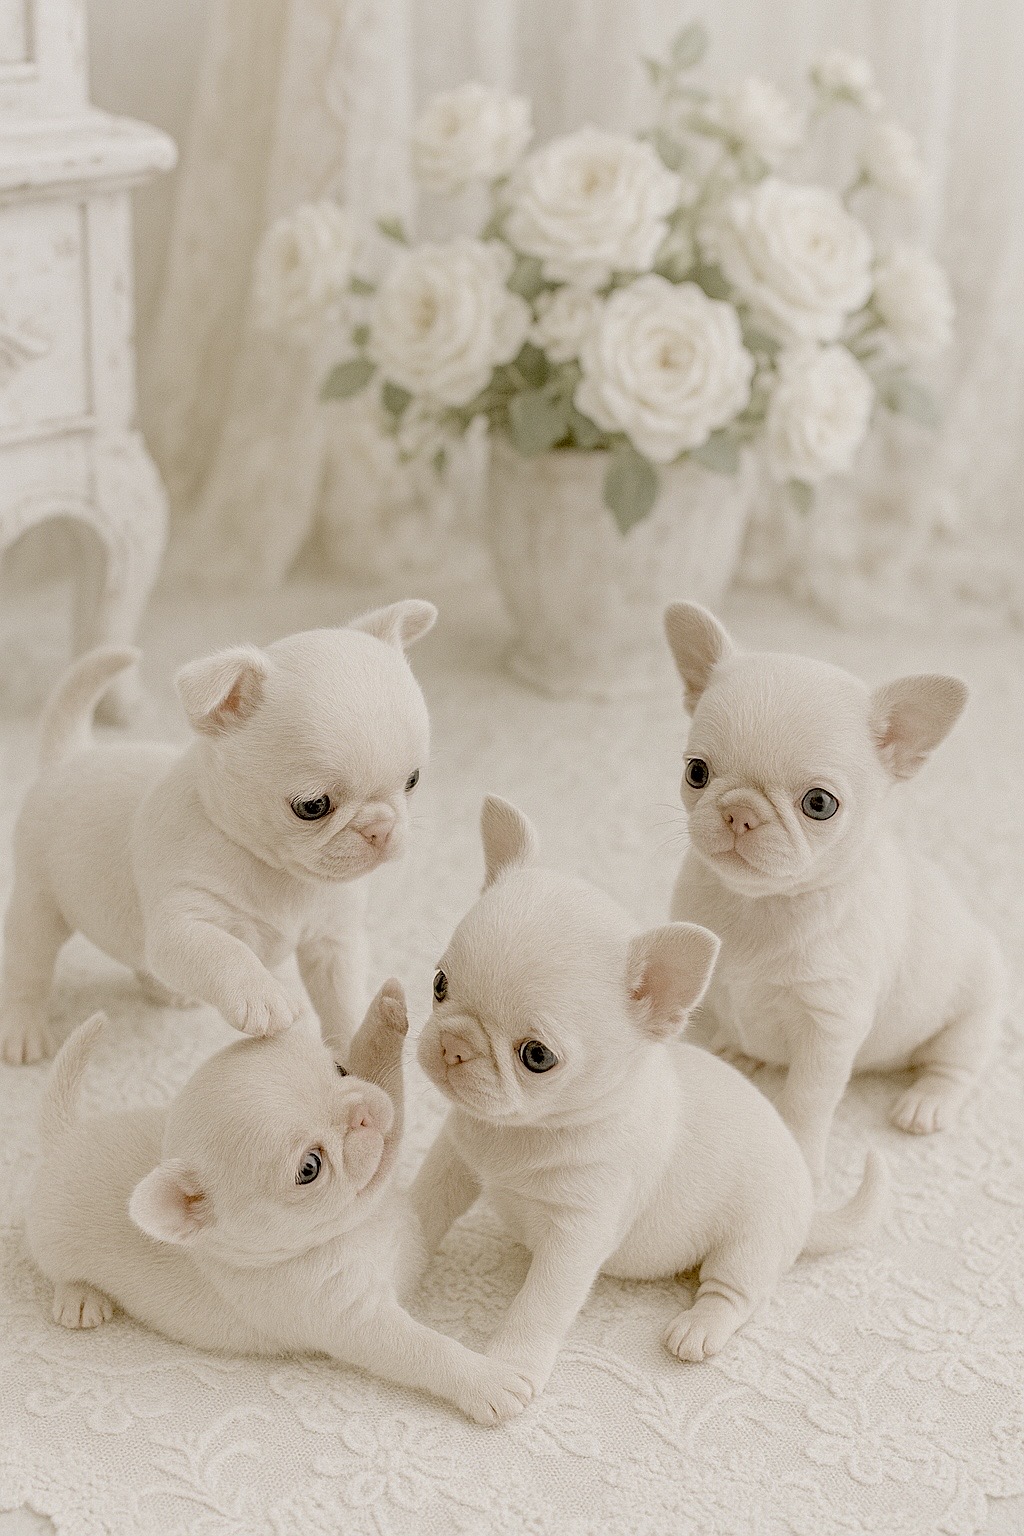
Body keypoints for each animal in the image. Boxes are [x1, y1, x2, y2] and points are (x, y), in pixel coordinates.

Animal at [0, 601, 435, 1063]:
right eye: (313, 807)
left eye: (412, 781)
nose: (381, 828)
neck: (272, 868)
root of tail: (70, 756)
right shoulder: (183, 927)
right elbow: (226, 951)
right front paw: (263, 995)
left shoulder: (333, 943)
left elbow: (342, 1000)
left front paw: (357, 1050)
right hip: (39, 904)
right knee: (28, 968)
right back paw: (23, 1028)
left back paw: (167, 992)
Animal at [25, 982, 533, 1425]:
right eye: (310, 1167)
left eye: (341, 1071)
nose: (358, 1115)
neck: (353, 1228)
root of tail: (65, 1135)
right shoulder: (353, 1321)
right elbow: (423, 1349)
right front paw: (484, 1380)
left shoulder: (391, 1174)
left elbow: (390, 1094)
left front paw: (384, 1016)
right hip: (52, 1241)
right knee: (58, 1270)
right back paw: (79, 1298)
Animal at [411, 796, 883, 1402]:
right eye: (439, 985)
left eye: (536, 1056)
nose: (454, 1046)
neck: (525, 1132)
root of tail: (807, 1206)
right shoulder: (456, 1158)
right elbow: (428, 1202)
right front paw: (398, 1239)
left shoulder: (576, 1236)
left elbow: (539, 1306)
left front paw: (511, 1366)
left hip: (756, 1236)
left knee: (737, 1291)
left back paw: (698, 1327)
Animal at [664, 601, 1006, 1179]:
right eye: (696, 772)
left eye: (819, 804)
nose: (739, 812)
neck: (760, 905)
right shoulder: (714, 984)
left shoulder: (828, 1029)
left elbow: (805, 1100)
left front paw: (799, 1158)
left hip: (972, 1015)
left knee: (954, 1066)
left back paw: (926, 1102)